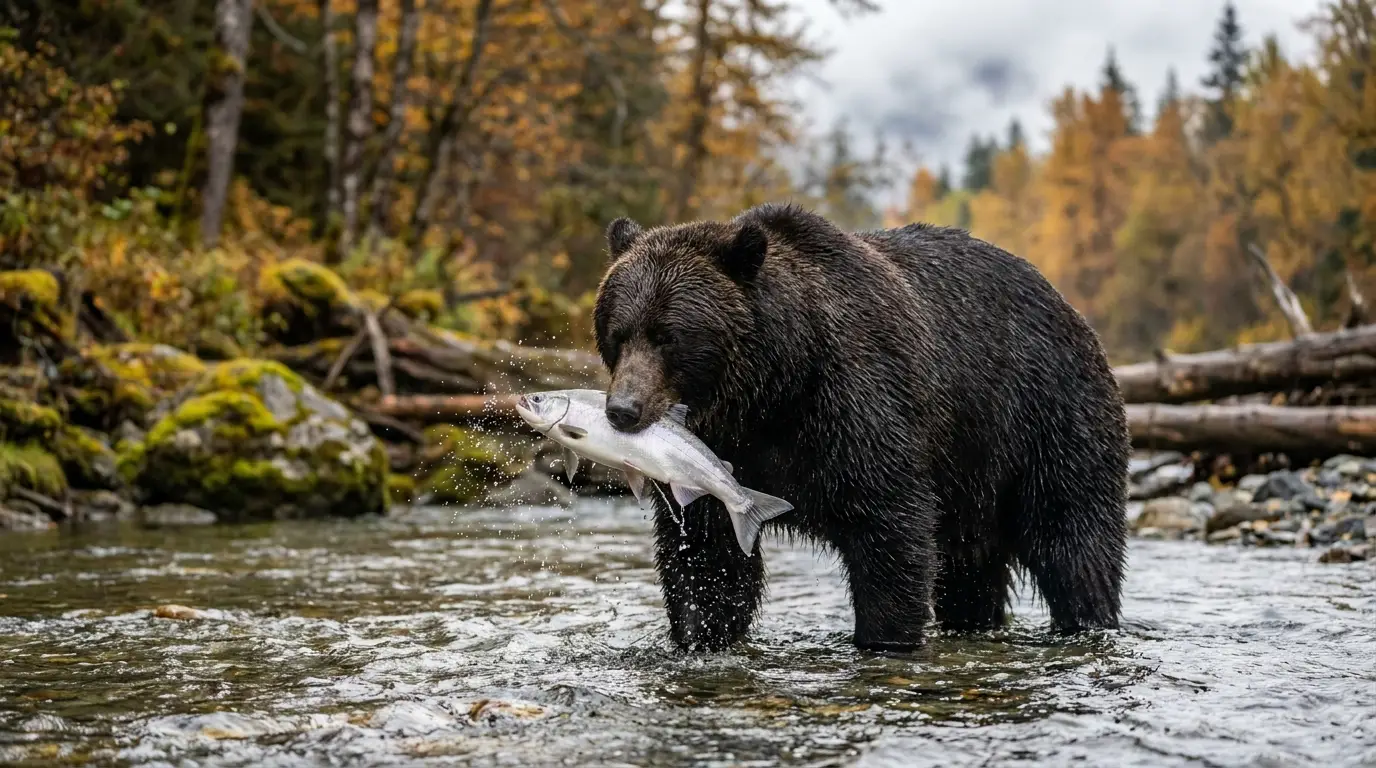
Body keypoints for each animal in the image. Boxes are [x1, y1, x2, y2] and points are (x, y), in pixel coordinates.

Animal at [592, 202, 1128, 652]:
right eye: (618, 333)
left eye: (668, 336)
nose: (623, 410)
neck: (773, 391)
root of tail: (1067, 307)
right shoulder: (718, 455)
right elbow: (706, 554)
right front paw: (701, 634)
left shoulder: (859, 406)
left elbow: (890, 528)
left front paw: (886, 637)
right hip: (974, 478)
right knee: (970, 569)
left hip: (1044, 419)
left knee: (1073, 539)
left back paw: (1087, 620)